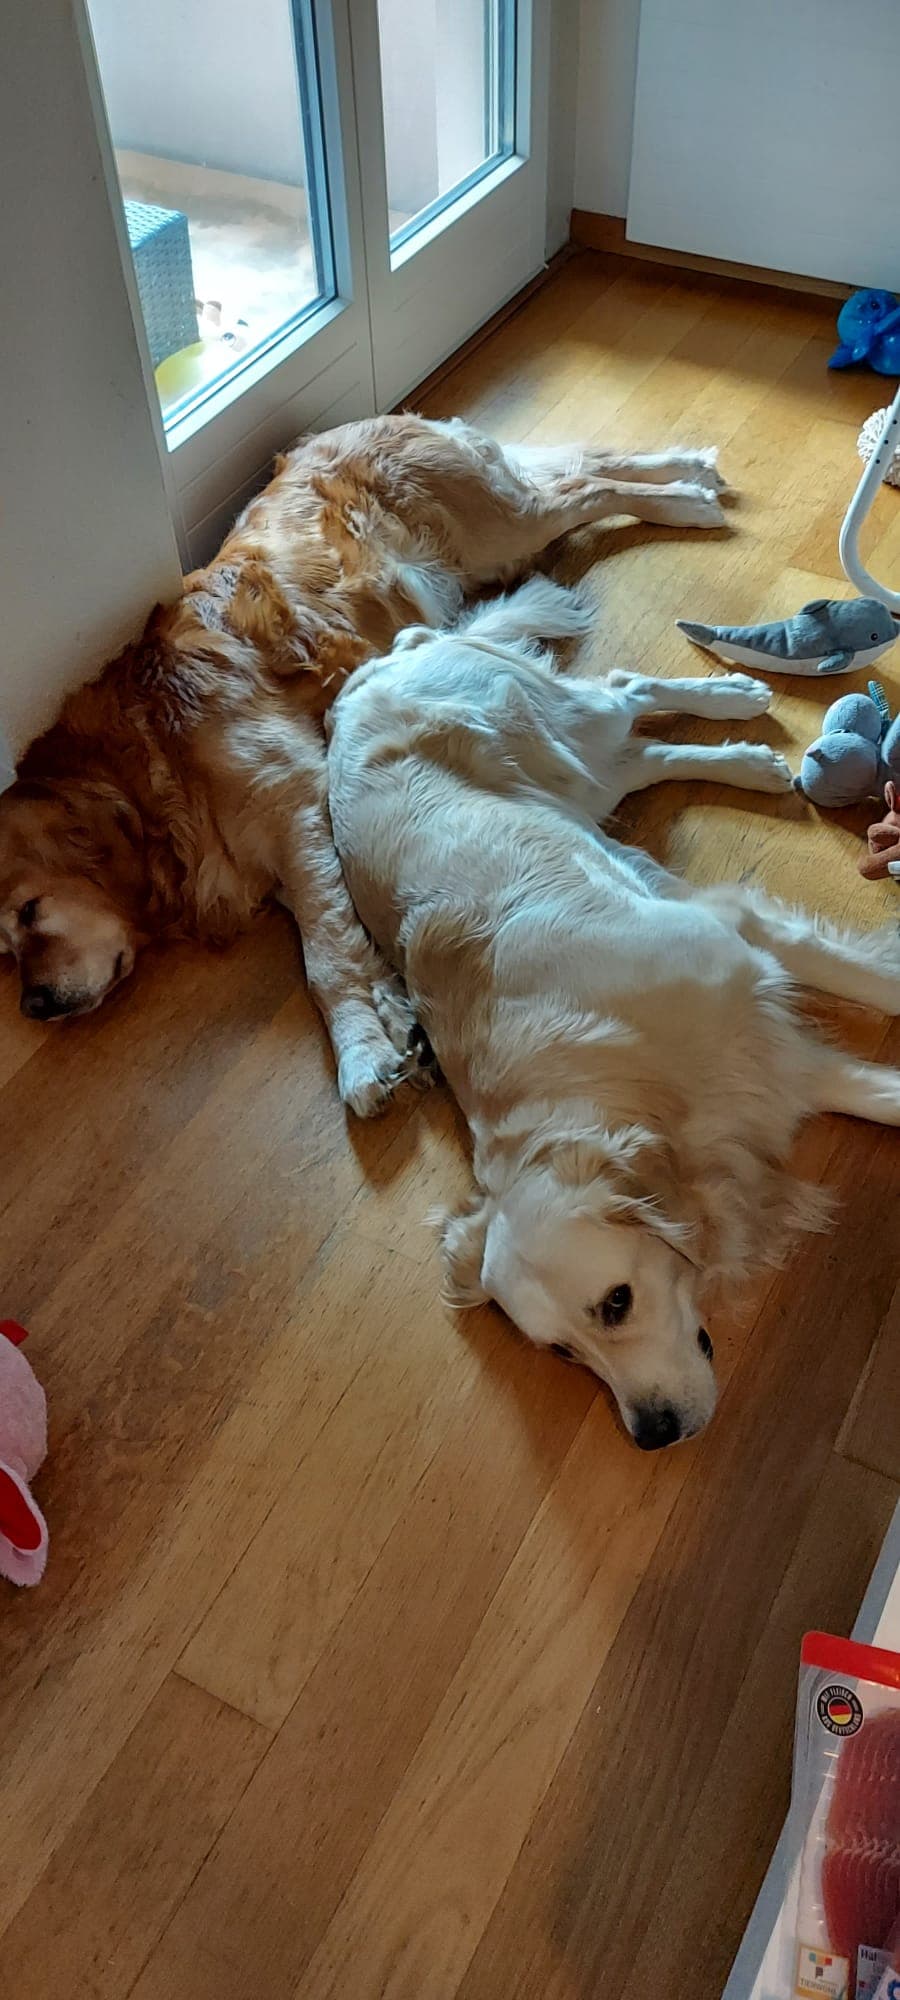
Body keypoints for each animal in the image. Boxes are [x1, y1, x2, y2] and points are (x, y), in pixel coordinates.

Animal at [0, 415, 729, 1115]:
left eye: (29, 912)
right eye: (4, 950)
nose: (33, 1007)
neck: (150, 760)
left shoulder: (297, 805)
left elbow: (326, 960)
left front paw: (360, 1054)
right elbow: (347, 942)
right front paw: (392, 1027)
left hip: (501, 526)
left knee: (588, 489)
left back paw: (688, 503)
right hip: (500, 530)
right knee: (583, 466)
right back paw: (692, 467)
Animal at [326, 577, 900, 1445]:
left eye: (617, 1303)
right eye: (562, 1353)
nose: (652, 1433)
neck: (609, 1060)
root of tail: (373, 667)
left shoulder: (737, 946)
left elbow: (865, 982)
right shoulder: (766, 1070)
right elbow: (879, 1093)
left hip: (556, 729)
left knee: (627, 694)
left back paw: (736, 702)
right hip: (578, 780)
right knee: (642, 755)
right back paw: (750, 760)